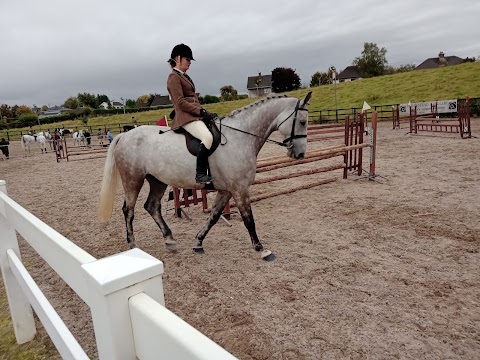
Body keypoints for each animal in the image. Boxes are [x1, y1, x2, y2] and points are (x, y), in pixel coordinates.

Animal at [99, 92, 314, 262]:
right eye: (302, 122)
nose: (300, 154)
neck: (240, 138)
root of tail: (124, 136)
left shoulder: (227, 190)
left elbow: (214, 216)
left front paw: (198, 242)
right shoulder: (240, 188)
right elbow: (248, 219)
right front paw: (262, 249)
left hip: (157, 180)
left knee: (152, 206)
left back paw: (170, 240)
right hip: (133, 179)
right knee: (128, 210)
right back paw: (133, 245)